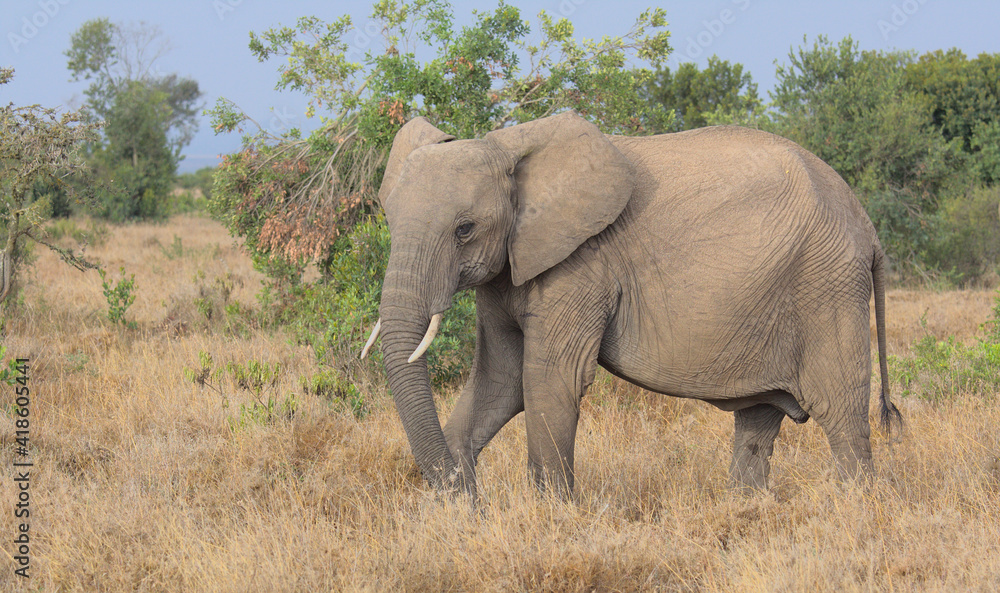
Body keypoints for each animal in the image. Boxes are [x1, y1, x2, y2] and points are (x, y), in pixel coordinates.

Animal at [364, 110, 904, 494]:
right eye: (388, 220)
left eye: (464, 229)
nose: (455, 490)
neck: (508, 144)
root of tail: (867, 225)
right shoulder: (508, 269)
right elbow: (500, 380)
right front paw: (462, 511)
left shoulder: (582, 263)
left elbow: (548, 380)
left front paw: (550, 519)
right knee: (758, 418)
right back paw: (746, 507)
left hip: (826, 285)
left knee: (840, 414)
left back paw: (856, 507)